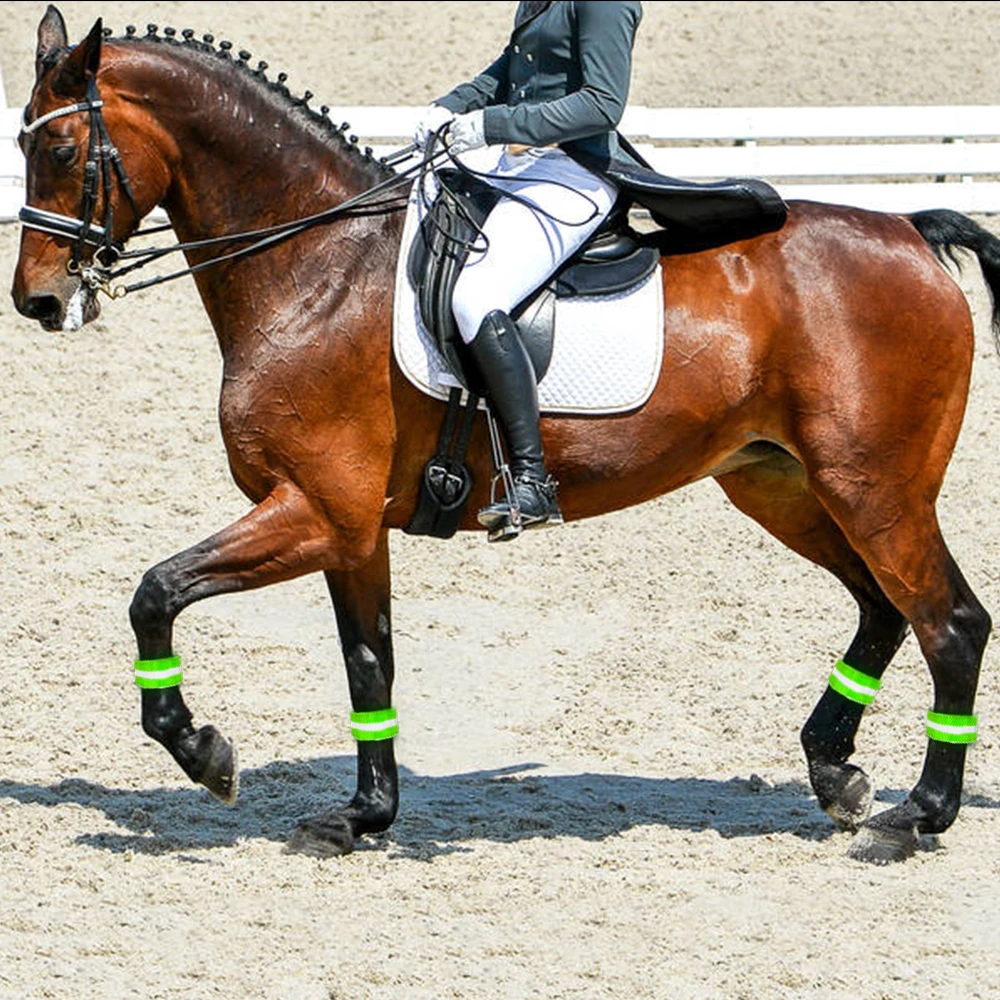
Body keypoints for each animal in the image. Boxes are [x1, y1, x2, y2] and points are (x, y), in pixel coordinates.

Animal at [12, 7, 1000, 863]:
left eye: (59, 148)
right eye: (20, 145)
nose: (38, 302)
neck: (315, 269)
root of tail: (911, 231)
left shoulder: (316, 510)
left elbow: (154, 593)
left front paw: (205, 752)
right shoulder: (351, 528)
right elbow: (369, 665)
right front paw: (363, 816)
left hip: (874, 488)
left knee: (949, 622)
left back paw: (916, 815)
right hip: (782, 485)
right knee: (883, 609)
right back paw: (836, 773)